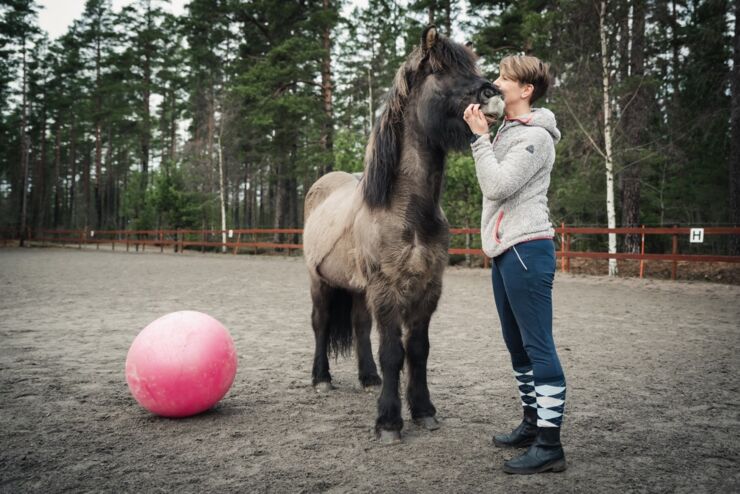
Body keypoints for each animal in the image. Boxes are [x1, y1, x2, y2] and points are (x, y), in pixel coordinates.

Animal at [300, 25, 502, 444]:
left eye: (472, 68)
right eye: (441, 71)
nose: (494, 95)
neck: (404, 208)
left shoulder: (428, 288)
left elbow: (418, 350)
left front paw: (424, 411)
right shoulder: (387, 289)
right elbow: (393, 352)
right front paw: (389, 422)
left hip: (357, 289)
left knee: (360, 326)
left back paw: (368, 379)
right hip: (320, 281)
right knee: (321, 323)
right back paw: (321, 379)